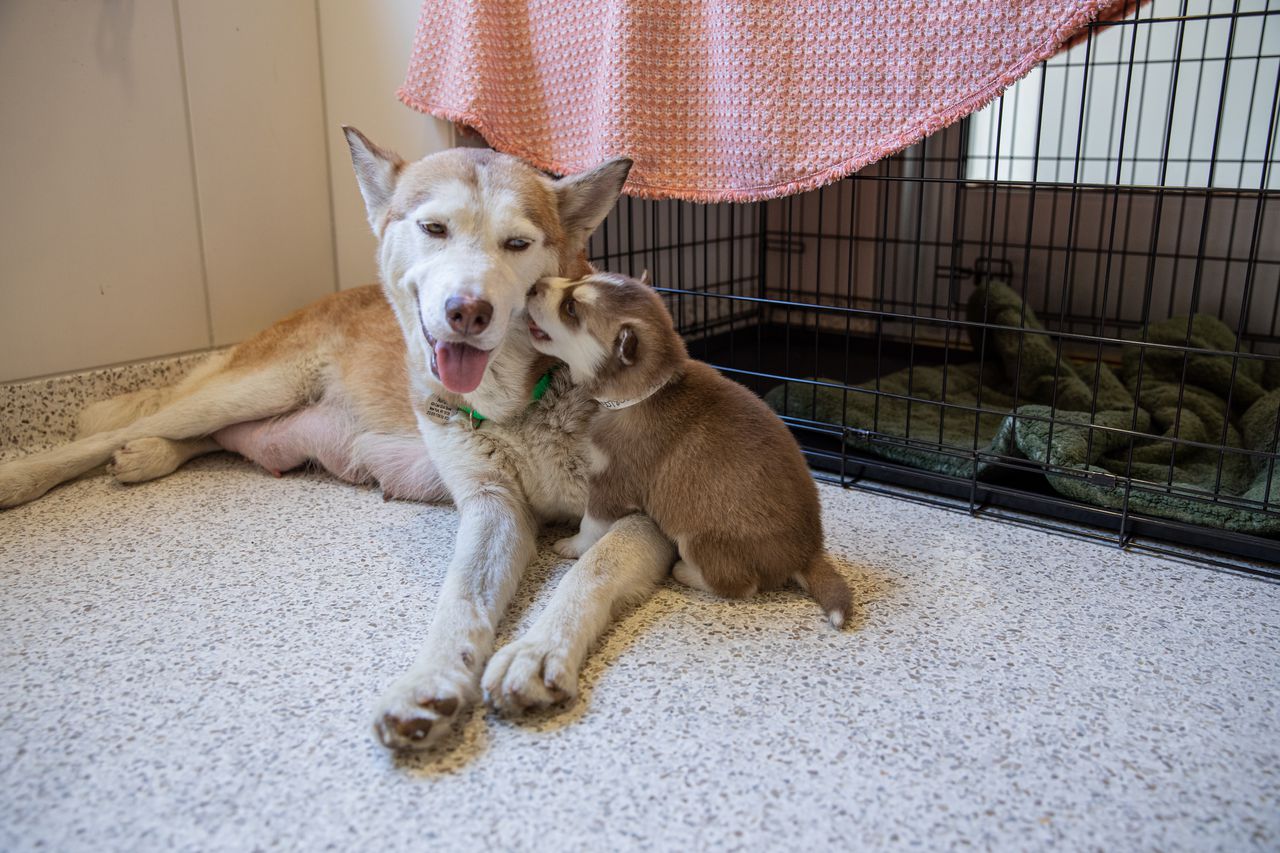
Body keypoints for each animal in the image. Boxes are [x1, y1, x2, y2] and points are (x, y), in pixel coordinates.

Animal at [0, 129, 675, 747]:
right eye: (434, 228)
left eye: (517, 243)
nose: (467, 311)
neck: (518, 404)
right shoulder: (494, 507)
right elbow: (460, 600)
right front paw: (430, 680)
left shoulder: (646, 519)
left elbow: (590, 569)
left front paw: (537, 652)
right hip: (259, 385)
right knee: (142, 422)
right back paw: (31, 473)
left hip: (267, 412)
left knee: (214, 436)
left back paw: (148, 457)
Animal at [524, 272, 855, 625]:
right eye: (579, 278)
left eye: (571, 308)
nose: (535, 285)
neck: (645, 392)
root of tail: (806, 554)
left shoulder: (612, 482)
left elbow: (591, 522)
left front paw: (572, 545)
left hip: (698, 538)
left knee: (741, 585)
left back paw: (685, 572)